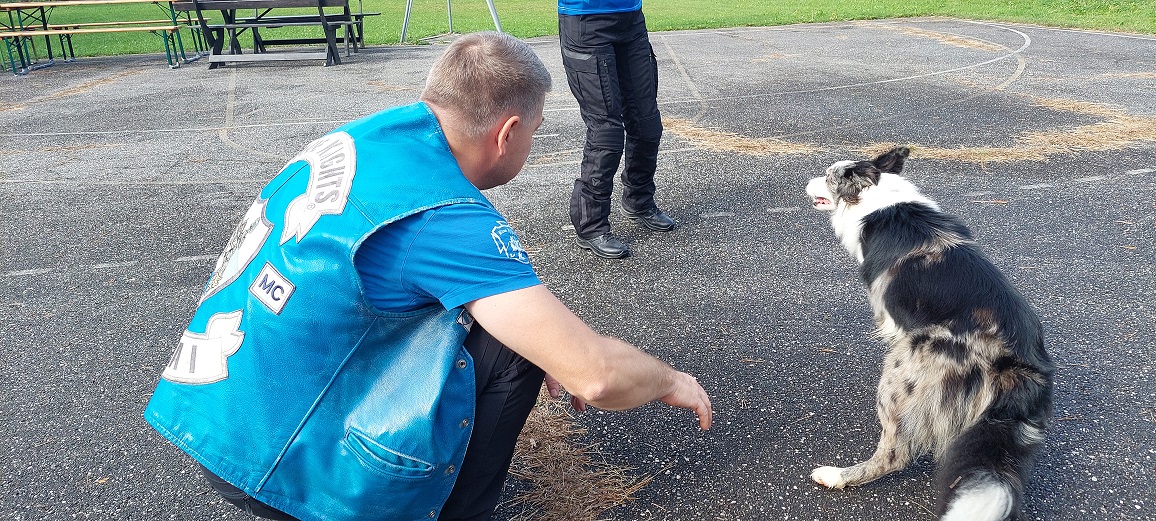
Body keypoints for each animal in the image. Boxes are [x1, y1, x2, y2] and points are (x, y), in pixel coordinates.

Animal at [804, 146, 1055, 521]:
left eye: (828, 176)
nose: (806, 181)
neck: (878, 199)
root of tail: (1019, 365)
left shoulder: (898, 329)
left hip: (902, 368)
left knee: (895, 453)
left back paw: (836, 475)